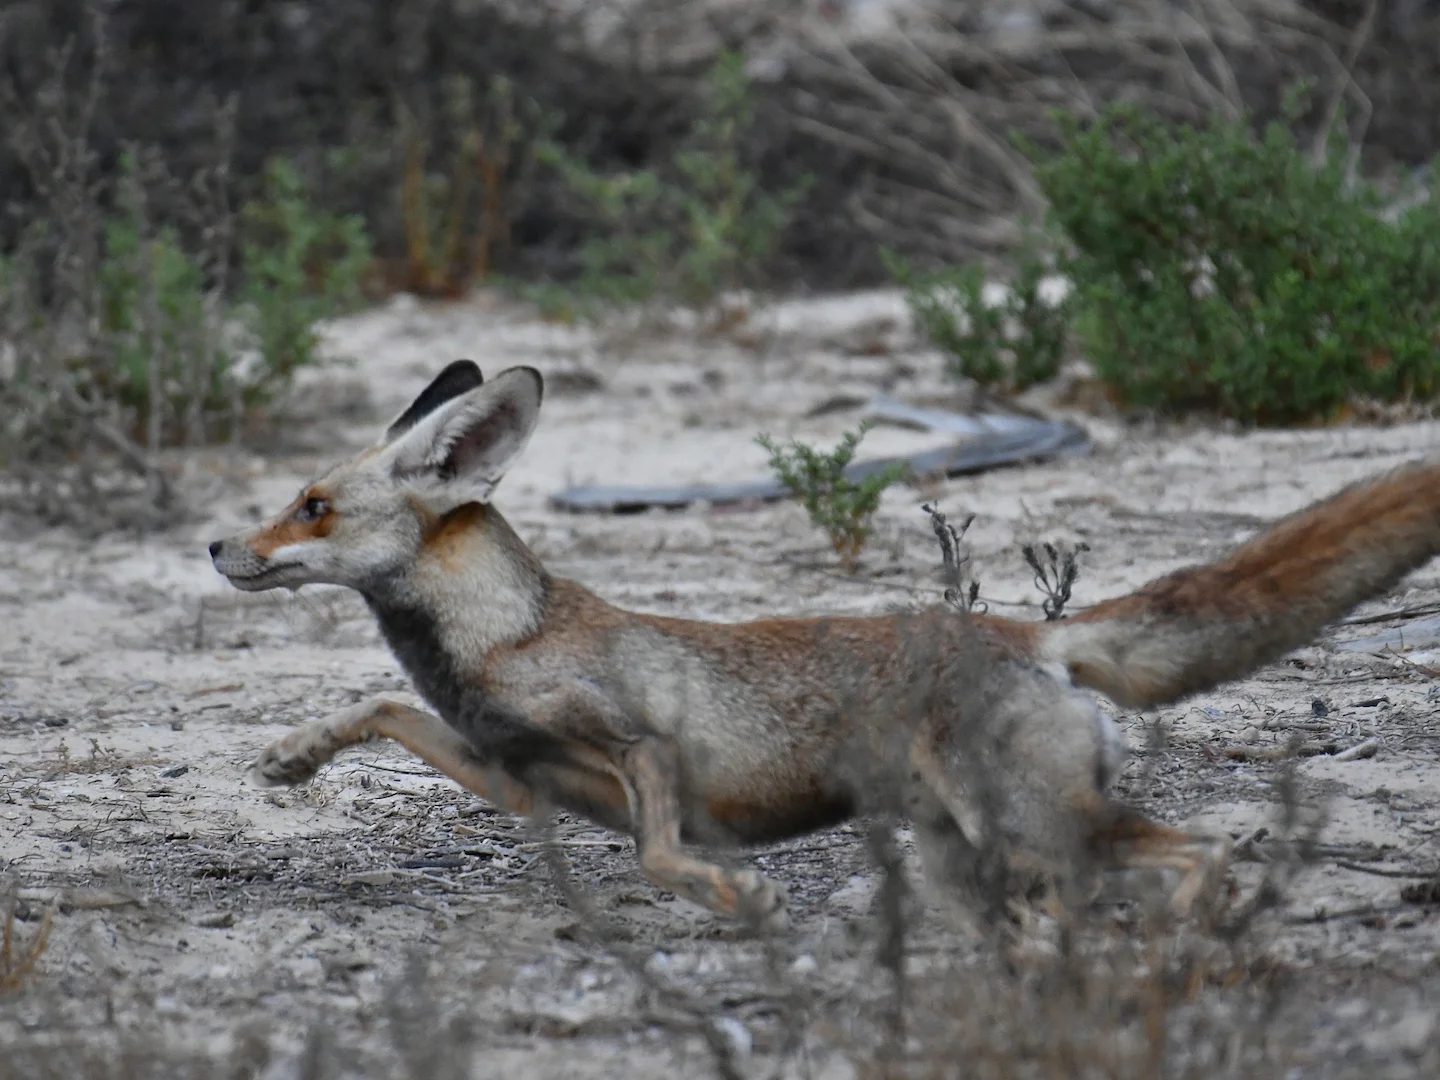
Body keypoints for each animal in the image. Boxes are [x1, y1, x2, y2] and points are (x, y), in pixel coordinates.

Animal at [210, 360, 1440, 931]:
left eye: (312, 506)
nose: (218, 543)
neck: (498, 643)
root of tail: (1026, 629)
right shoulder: (518, 780)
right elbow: (377, 707)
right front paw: (293, 757)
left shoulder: (643, 750)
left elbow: (661, 858)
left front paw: (738, 900)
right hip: (978, 859)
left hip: (1037, 830)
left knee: (1205, 849)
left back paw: (1180, 947)